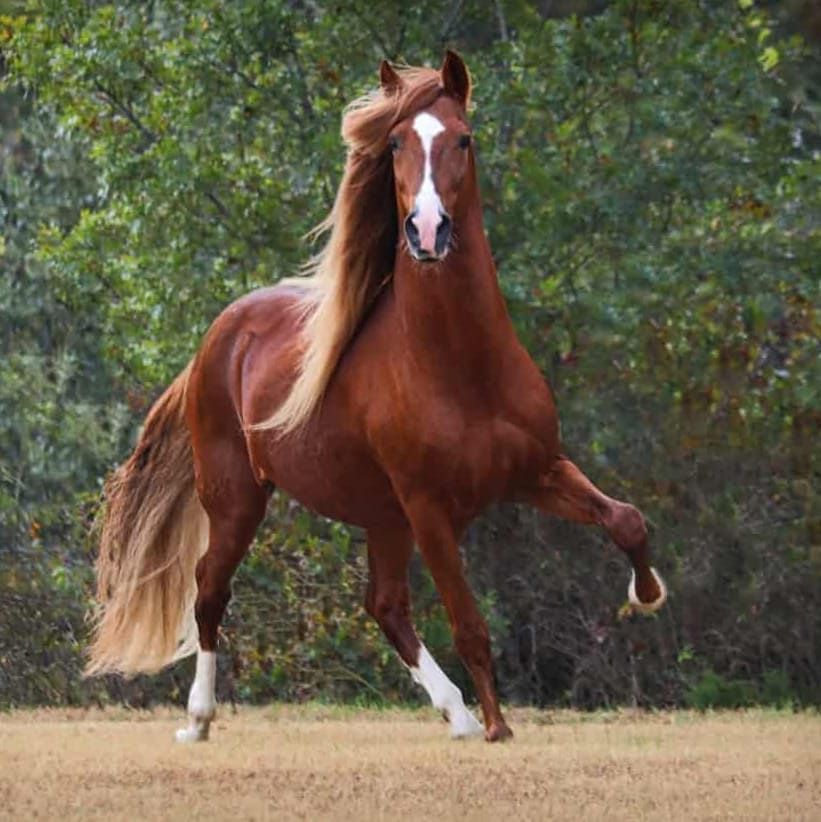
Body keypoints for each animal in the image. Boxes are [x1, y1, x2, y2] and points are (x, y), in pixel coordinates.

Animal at [87, 51, 666, 743]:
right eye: (394, 144)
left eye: (463, 138)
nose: (427, 230)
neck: (462, 366)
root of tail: (215, 342)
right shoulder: (429, 508)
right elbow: (470, 623)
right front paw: (500, 728)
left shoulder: (537, 472)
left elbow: (625, 518)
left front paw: (647, 594)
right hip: (238, 498)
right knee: (209, 590)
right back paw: (199, 721)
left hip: (380, 517)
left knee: (384, 606)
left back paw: (456, 715)